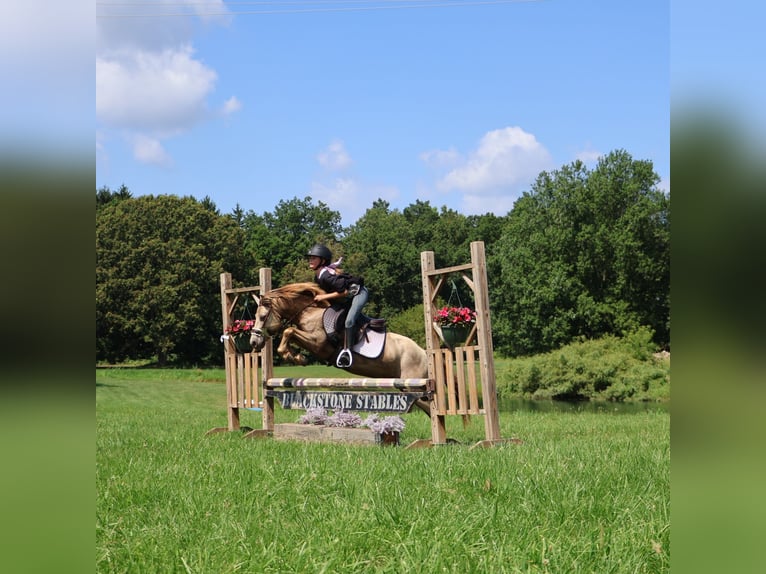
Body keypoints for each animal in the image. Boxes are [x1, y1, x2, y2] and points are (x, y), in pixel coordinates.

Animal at [249, 282, 431, 414]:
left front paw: (294, 357)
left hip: (413, 384)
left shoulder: (319, 344)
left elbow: (289, 331)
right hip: (405, 386)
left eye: (262, 317)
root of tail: (423, 353)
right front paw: (296, 356)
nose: (254, 342)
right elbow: (290, 333)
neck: (309, 313)